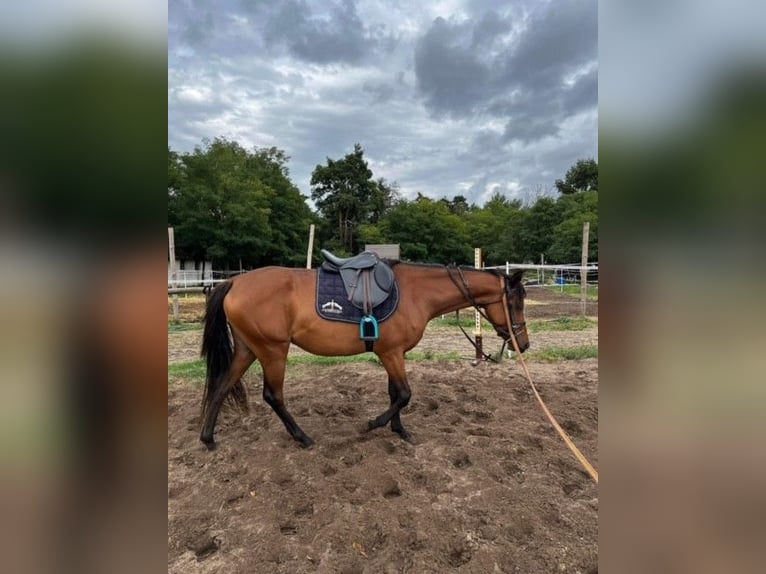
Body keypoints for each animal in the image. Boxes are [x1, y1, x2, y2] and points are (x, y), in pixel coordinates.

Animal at [201, 260, 532, 450]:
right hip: (273, 350)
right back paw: (302, 437)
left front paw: (399, 429)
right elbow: (404, 394)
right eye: (515, 302)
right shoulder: (392, 353)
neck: (415, 293)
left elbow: (395, 393)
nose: (523, 343)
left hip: (248, 349)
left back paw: (208, 438)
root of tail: (234, 281)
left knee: (222, 386)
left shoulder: (391, 353)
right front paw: (373, 424)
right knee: (273, 395)